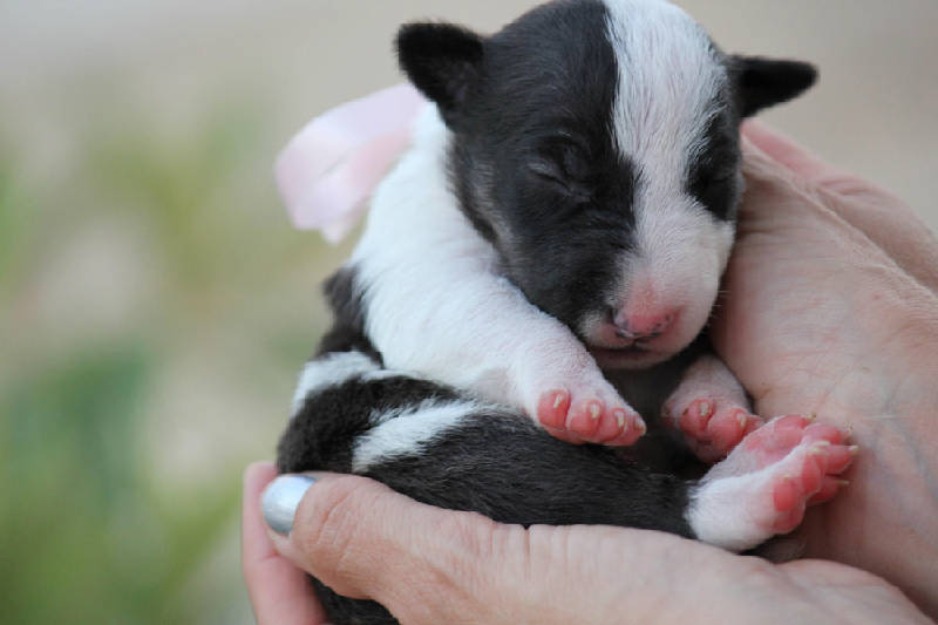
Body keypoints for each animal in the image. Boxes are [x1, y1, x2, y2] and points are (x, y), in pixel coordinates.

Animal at [274, 0, 852, 620]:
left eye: (717, 177)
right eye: (555, 171)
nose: (643, 321)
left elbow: (702, 350)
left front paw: (712, 408)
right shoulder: (418, 264)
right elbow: (492, 313)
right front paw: (579, 395)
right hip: (423, 440)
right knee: (630, 505)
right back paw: (758, 483)